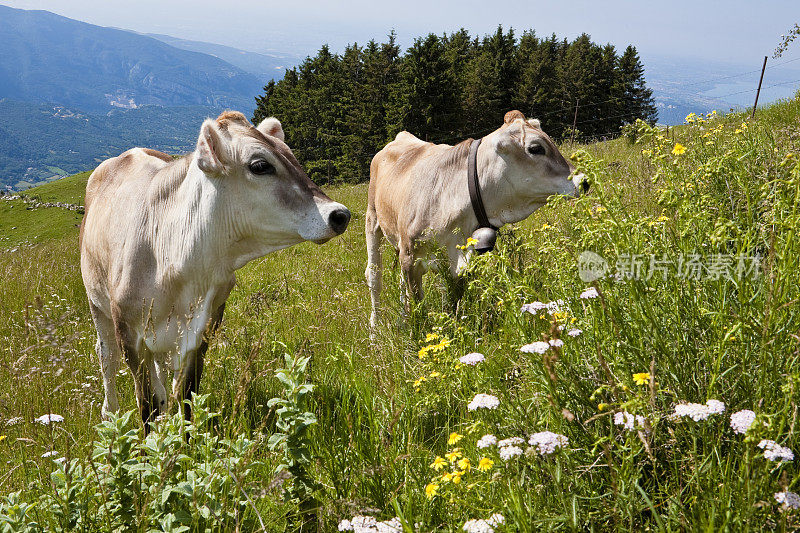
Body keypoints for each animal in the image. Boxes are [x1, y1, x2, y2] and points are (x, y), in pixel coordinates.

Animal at [80, 111, 350, 424]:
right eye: (260, 165)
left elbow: (185, 396)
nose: (340, 214)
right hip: (97, 305)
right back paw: (109, 413)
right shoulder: (130, 338)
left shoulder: (203, 330)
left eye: (291, 155)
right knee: (107, 358)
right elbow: (146, 405)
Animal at [366, 110, 584, 326]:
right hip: (373, 219)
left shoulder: (460, 264)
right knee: (374, 276)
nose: (584, 181)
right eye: (536, 148)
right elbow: (418, 311)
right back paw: (375, 327)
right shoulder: (410, 258)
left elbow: (452, 305)